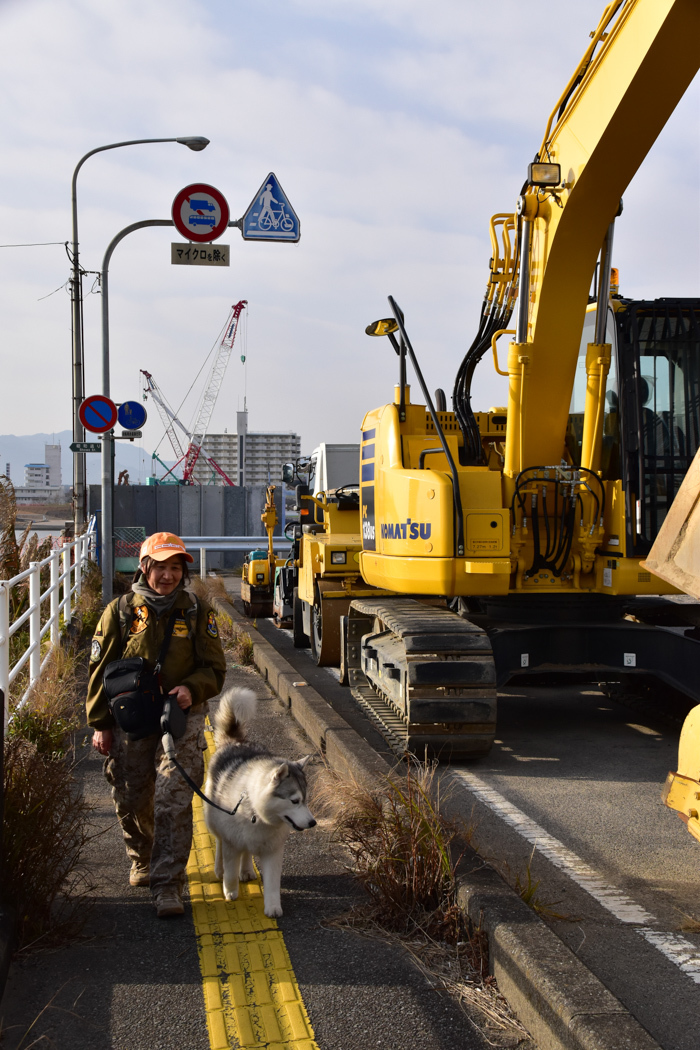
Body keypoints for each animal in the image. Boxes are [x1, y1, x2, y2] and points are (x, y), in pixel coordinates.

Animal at [203, 684, 316, 915]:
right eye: (294, 801)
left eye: (306, 800)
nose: (312, 823)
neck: (257, 812)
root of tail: (235, 742)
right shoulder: (232, 842)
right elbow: (230, 869)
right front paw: (230, 891)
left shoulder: (273, 850)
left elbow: (272, 882)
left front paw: (272, 906)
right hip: (214, 817)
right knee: (219, 842)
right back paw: (219, 868)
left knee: (247, 851)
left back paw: (246, 870)